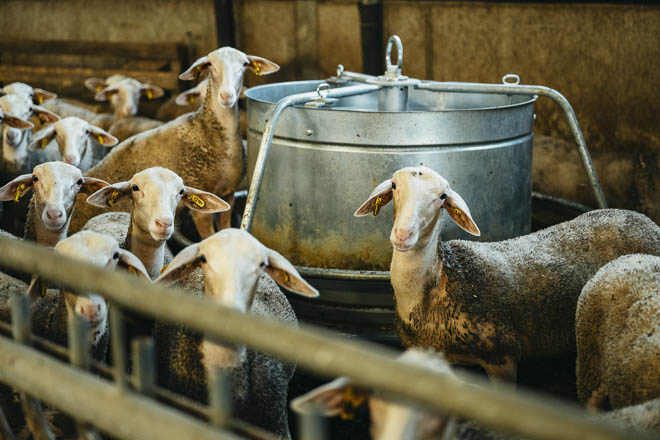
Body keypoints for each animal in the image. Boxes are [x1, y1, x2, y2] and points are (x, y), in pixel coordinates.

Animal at [67, 47, 280, 238]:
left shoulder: (228, 194)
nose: (226, 96)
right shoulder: (199, 203)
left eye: (244, 64)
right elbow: (208, 235)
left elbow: (225, 228)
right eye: (210, 65)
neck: (209, 131)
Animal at [354, 166, 660, 383]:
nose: (403, 235)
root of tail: (641, 218)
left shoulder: (502, 356)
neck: (441, 279)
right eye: (394, 186)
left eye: (441, 197)